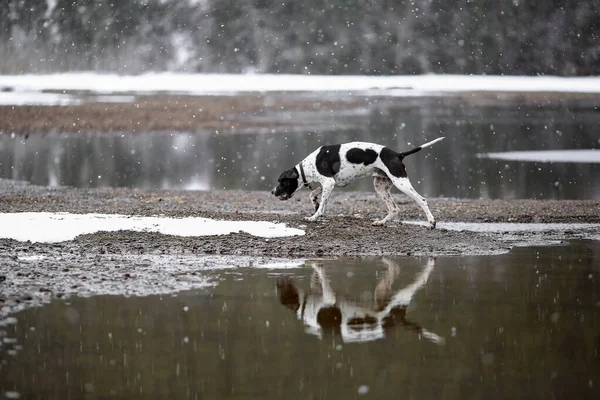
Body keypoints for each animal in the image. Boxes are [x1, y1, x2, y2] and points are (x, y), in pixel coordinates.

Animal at [272, 138, 446, 230]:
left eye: (282, 182)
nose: (273, 192)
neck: (309, 165)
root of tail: (398, 154)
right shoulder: (329, 183)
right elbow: (312, 194)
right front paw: (315, 203)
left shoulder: (329, 182)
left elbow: (322, 206)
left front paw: (314, 217)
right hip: (381, 186)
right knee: (394, 208)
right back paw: (381, 222)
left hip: (401, 182)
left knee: (421, 200)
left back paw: (432, 222)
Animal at [276, 260, 440, 344]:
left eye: (282, 292)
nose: (278, 282)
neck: (304, 308)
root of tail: (396, 321)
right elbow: (317, 276)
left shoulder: (329, 297)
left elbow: (321, 273)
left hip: (400, 298)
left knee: (419, 281)